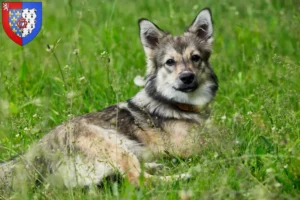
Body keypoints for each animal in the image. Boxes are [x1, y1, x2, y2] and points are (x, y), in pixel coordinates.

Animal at [0, 6, 218, 191]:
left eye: (195, 58)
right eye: (170, 62)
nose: (187, 77)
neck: (179, 105)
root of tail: (35, 153)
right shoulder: (188, 146)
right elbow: (224, 142)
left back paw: (157, 166)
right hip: (116, 147)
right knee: (137, 180)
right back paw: (186, 175)